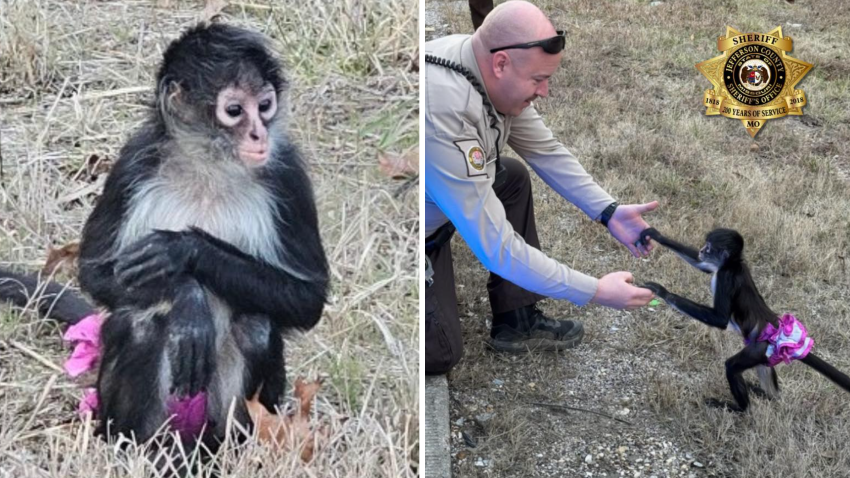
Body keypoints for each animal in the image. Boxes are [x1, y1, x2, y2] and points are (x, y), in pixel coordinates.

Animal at [640, 228, 844, 410]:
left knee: (731, 366)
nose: (701, 250)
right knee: (763, 368)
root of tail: (779, 328)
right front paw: (656, 235)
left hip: (759, 349)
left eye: (708, 247)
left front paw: (663, 292)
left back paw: (740, 409)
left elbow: (720, 319)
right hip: (765, 352)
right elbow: (701, 265)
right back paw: (769, 396)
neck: (733, 265)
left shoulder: (725, 277)